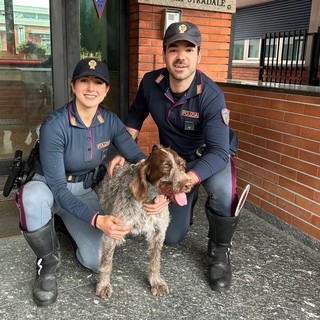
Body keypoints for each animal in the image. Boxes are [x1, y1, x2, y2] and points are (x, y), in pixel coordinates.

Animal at [95, 145, 192, 298]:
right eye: (166, 166)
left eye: (182, 165)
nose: (188, 184)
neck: (148, 199)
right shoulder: (112, 230)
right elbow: (106, 263)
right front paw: (103, 285)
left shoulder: (159, 233)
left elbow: (155, 261)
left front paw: (156, 281)